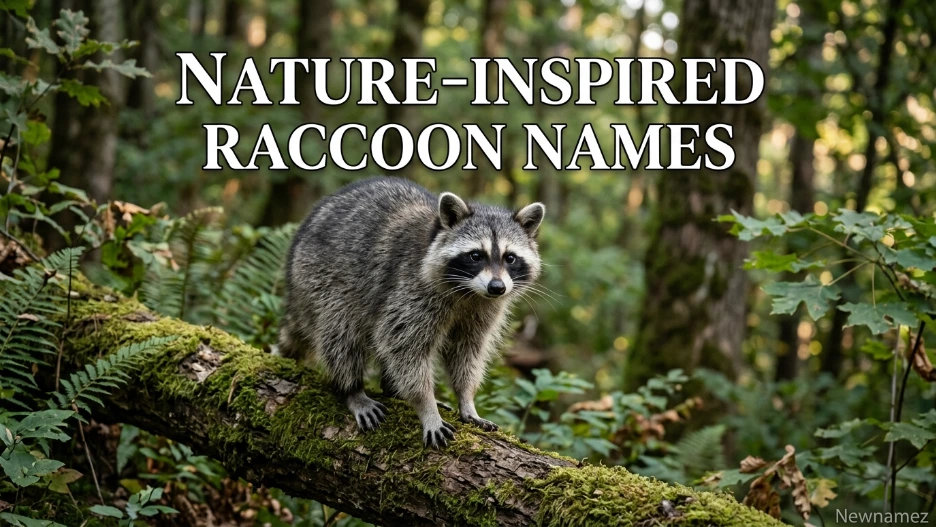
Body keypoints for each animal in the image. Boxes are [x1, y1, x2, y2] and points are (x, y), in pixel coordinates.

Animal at [277, 176, 545, 448]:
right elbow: (405, 347)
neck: (469, 292)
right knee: (341, 332)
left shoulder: (484, 309)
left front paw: (466, 398)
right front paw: (426, 406)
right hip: (319, 278)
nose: (497, 287)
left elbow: (466, 351)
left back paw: (391, 389)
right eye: (476, 256)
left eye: (510, 258)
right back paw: (352, 389)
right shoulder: (410, 288)